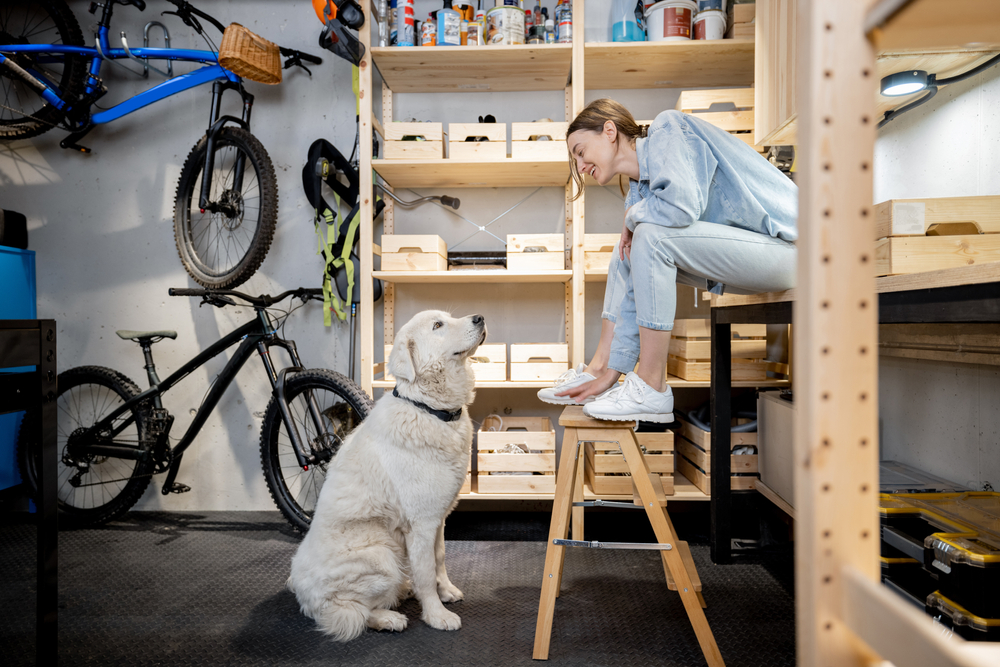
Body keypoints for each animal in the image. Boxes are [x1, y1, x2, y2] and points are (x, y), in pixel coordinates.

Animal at [288, 310, 486, 640]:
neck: (429, 409)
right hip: (382, 553)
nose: (480, 318)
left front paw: (446, 591)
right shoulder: (421, 524)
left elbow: (440, 558)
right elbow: (425, 572)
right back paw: (390, 618)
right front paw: (436, 615)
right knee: (351, 613)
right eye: (438, 326)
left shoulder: (438, 518)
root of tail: (303, 598)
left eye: (448, 317)